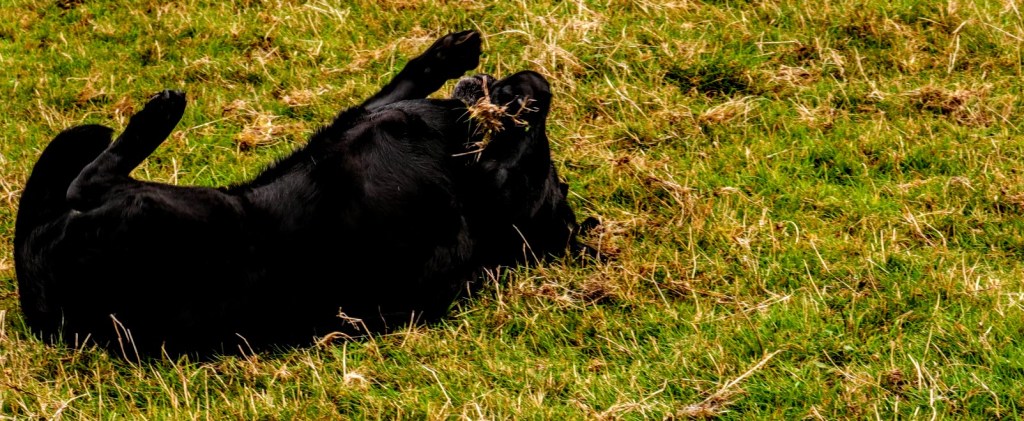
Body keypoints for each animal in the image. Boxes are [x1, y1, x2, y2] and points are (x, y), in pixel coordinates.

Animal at [14, 30, 587, 358]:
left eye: (535, 164)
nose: (537, 83)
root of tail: (41, 304)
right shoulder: (357, 121)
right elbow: (401, 84)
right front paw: (451, 50)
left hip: (186, 208)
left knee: (87, 179)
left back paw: (159, 115)